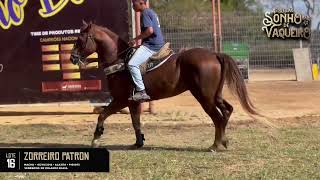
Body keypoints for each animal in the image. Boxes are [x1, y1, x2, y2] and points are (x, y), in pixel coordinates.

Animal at [70, 21, 258, 152]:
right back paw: (223, 141)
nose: (72, 58)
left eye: (80, 39)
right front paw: (138, 143)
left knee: (218, 117)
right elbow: (136, 122)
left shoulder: (120, 100)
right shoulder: (133, 102)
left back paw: (215, 145)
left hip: (204, 97)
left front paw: (96, 139)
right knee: (227, 111)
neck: (119, 60)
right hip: (214, 95)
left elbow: (102, 115)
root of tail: (214, 54)